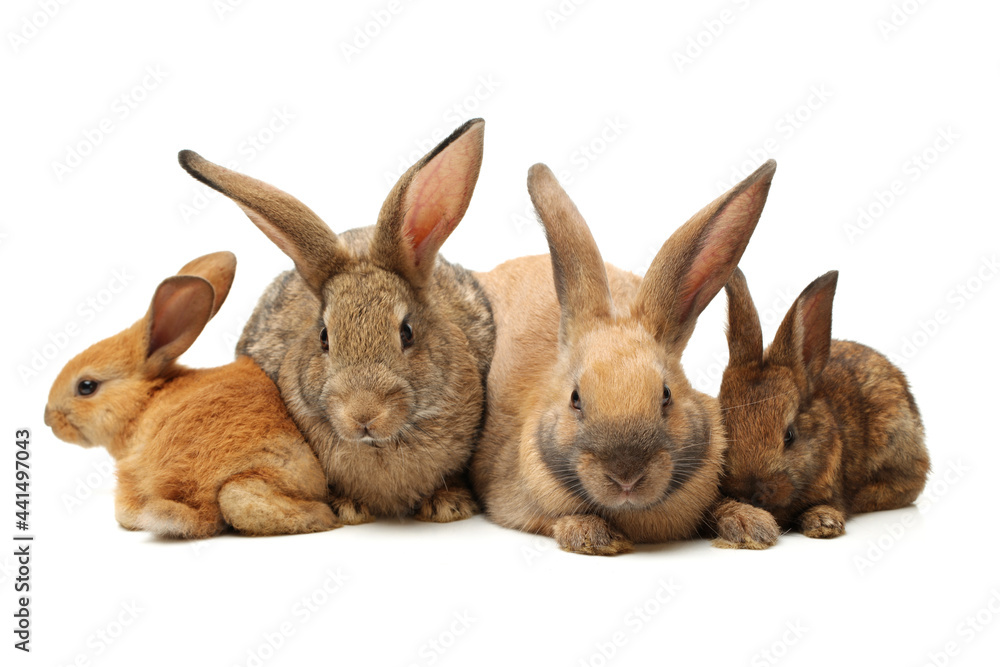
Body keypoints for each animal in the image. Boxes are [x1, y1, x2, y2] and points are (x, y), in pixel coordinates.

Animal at [469, 160, 782, 555]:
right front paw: (593, 535)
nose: (626, 477)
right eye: (575, 399)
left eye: (666, 395)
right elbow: (555, 517)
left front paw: (751, 524)